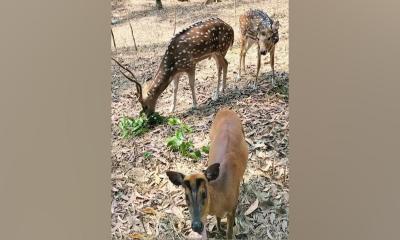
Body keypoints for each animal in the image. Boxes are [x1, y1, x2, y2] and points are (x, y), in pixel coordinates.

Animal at [166, 109, 247, 240]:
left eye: (204, 194)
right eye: (186, 197)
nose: (197, 226)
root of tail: (225, 109)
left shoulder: (233, 205)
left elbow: (230, 232)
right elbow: (218, 219)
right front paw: (219, 230)